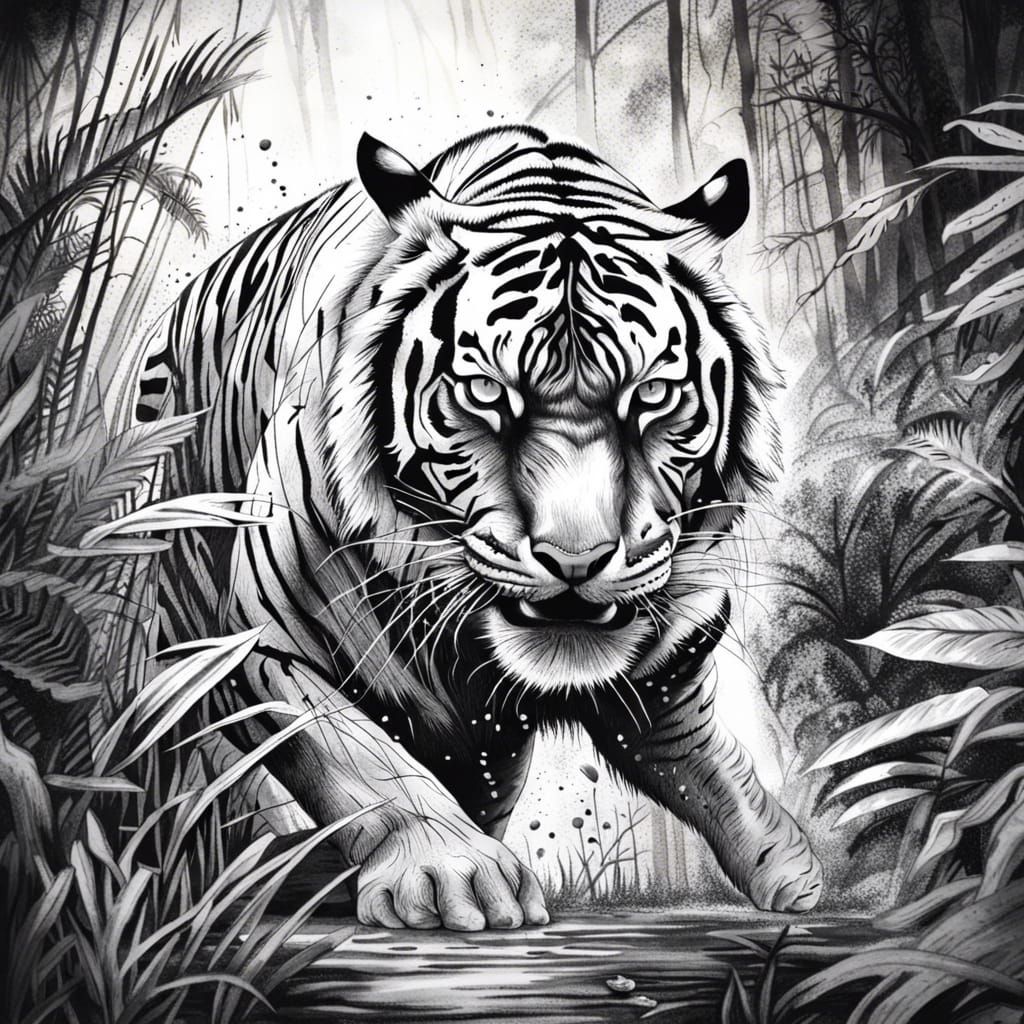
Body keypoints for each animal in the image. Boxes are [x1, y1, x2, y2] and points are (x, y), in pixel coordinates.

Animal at [134, 125, 822, 930]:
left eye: (652, 392)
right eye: (487, 391)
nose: (576, 560)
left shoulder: (666, 654)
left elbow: (695, 750)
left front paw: (789, 863)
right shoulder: (253, 642)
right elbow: (357, 758)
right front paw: (452, 875)